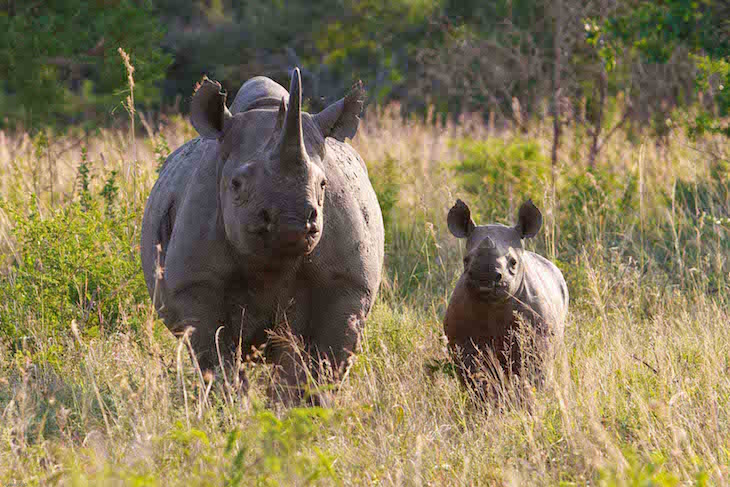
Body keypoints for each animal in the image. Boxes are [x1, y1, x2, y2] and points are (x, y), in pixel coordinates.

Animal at [440, 198, 564, 388]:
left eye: (513, 262)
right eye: (465, 260)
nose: (484, 276)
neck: (492, 304)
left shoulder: (536, 337)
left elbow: (531, 373)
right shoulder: (462, 342)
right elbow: (476, 379)